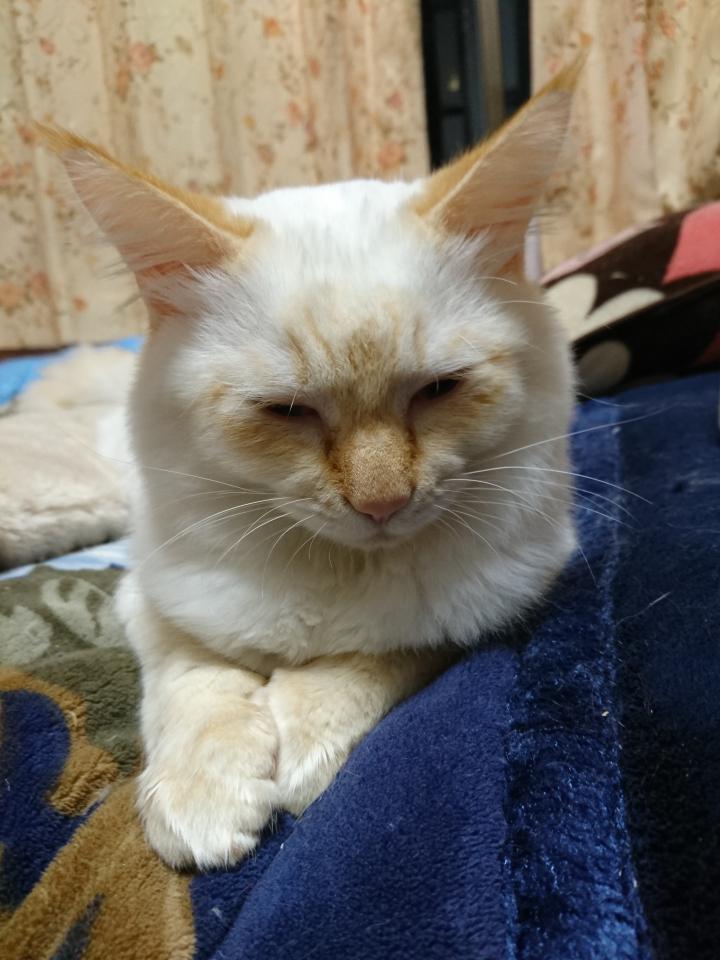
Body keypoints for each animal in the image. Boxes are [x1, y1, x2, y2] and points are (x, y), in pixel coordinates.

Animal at [41, 62, 580, 870]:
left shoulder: (480, 614)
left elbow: (366, 662)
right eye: (286, 411)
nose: (383, 504)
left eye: (439, 390)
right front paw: (203, 801)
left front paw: (296, 746)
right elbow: (192, 682)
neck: (339, 567)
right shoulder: (149, 599)